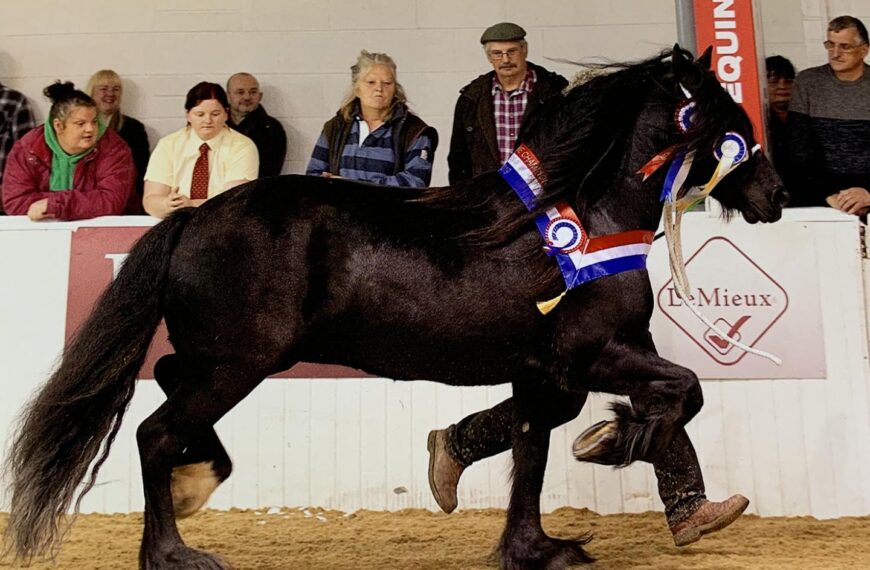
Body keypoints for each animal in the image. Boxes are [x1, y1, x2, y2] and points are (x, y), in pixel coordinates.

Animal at [3, 46, 785, 570]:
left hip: (221, 358)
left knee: (167, 390)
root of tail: (192, 218)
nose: (774, 196)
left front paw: (537, 543)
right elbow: (681, 392)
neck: (585, 215)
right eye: (728, 120)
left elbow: (531, 445)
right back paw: (174, 552)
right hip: (238, 363)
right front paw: (618, 441)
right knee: (155, 432)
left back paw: (198, 484)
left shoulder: (545, 370)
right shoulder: (587, 354)